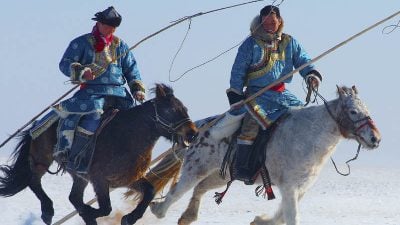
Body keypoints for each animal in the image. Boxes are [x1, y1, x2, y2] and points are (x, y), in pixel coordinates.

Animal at [0, 84, 199, 225]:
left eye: (185, 108)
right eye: (169, 110)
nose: (193, 133)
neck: (128, 136)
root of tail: (37, 124)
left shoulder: (127, 178)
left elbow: (149, 191)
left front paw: (129, 218)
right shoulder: (100, 180)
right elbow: (105, 208)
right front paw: (89, 213)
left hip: (79, 176)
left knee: (73, 197)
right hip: (43, 159)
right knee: (34, 181)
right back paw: (48, 211)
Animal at [144, 85, 382, 225]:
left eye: (367, 110)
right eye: (353, 111)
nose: (375, 139)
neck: (308, 135)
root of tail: (197, 129)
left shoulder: (301, 187)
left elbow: (283, 214)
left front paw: (260, 220)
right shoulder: (289, 185)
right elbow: (292, 216)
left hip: (221, 174)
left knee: (199, 188)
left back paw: (187, 216)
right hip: (196, 167)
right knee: (177, 190)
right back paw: (158, 210)